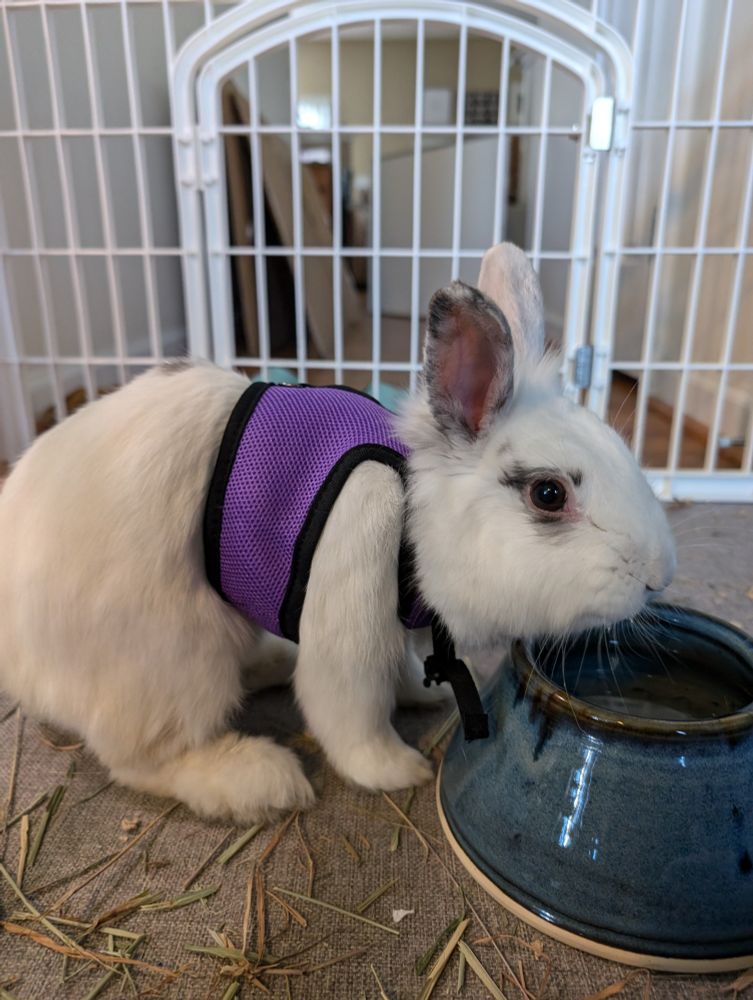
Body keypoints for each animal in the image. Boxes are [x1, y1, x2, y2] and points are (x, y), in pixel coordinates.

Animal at [0, 243, 675, 823]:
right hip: (174, 656)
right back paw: (260, 779)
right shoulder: (352, 621)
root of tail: (21, 662)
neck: (411, 515)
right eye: (548, 494)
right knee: (143, 758)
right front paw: (399, 769)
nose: (659, 577)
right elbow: (351, 713)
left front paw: (425, 696)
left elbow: (401, 672)